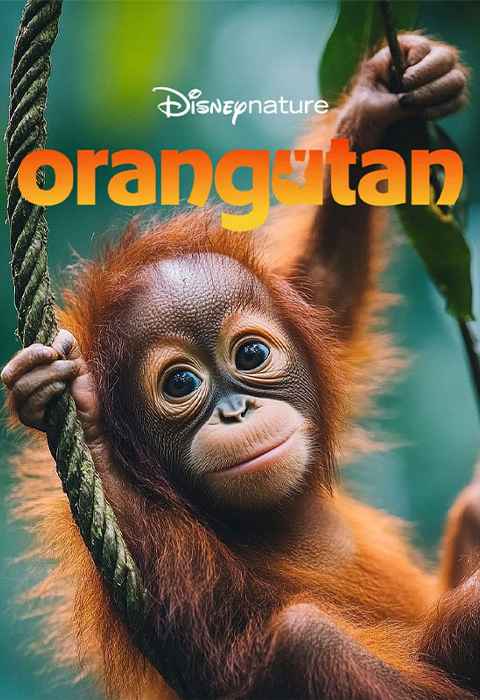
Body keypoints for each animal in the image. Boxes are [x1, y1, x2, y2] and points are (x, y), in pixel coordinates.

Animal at [2, 33, 477, 700]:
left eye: (250, 355)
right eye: (181, 383)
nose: (236, 409)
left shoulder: (305, 307)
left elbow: (321, 291)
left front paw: (377, 104)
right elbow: (217, 645)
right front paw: (84, 419)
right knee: (307, 639)